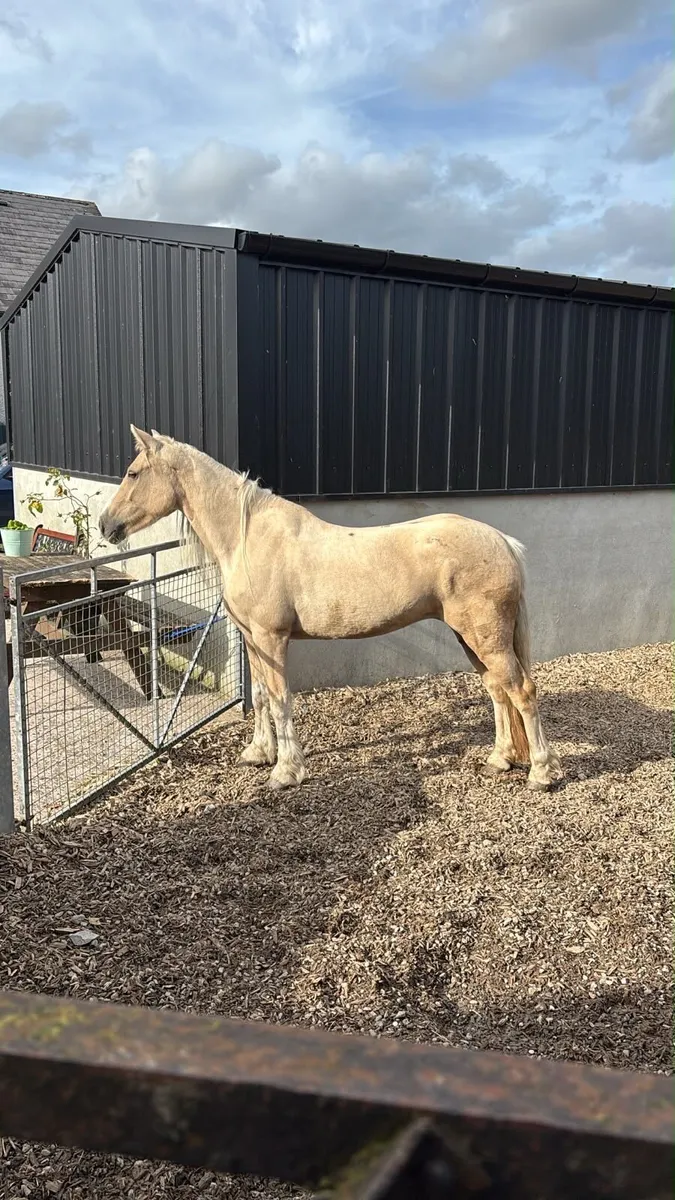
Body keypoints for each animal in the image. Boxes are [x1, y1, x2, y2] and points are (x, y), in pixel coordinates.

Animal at [100, 426, 562, 793]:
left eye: (133, 473)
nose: (105, 526)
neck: (248, 538)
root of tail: (503, 542)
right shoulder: (253, 639)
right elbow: (262, 696)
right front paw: (259, 753)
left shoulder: (272, 638)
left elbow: (281, 699)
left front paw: (286, 772)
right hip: (471, 638)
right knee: (498, 691)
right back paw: (500, 759)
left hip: (486, 638)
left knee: (522, 691)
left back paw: (540, 773)